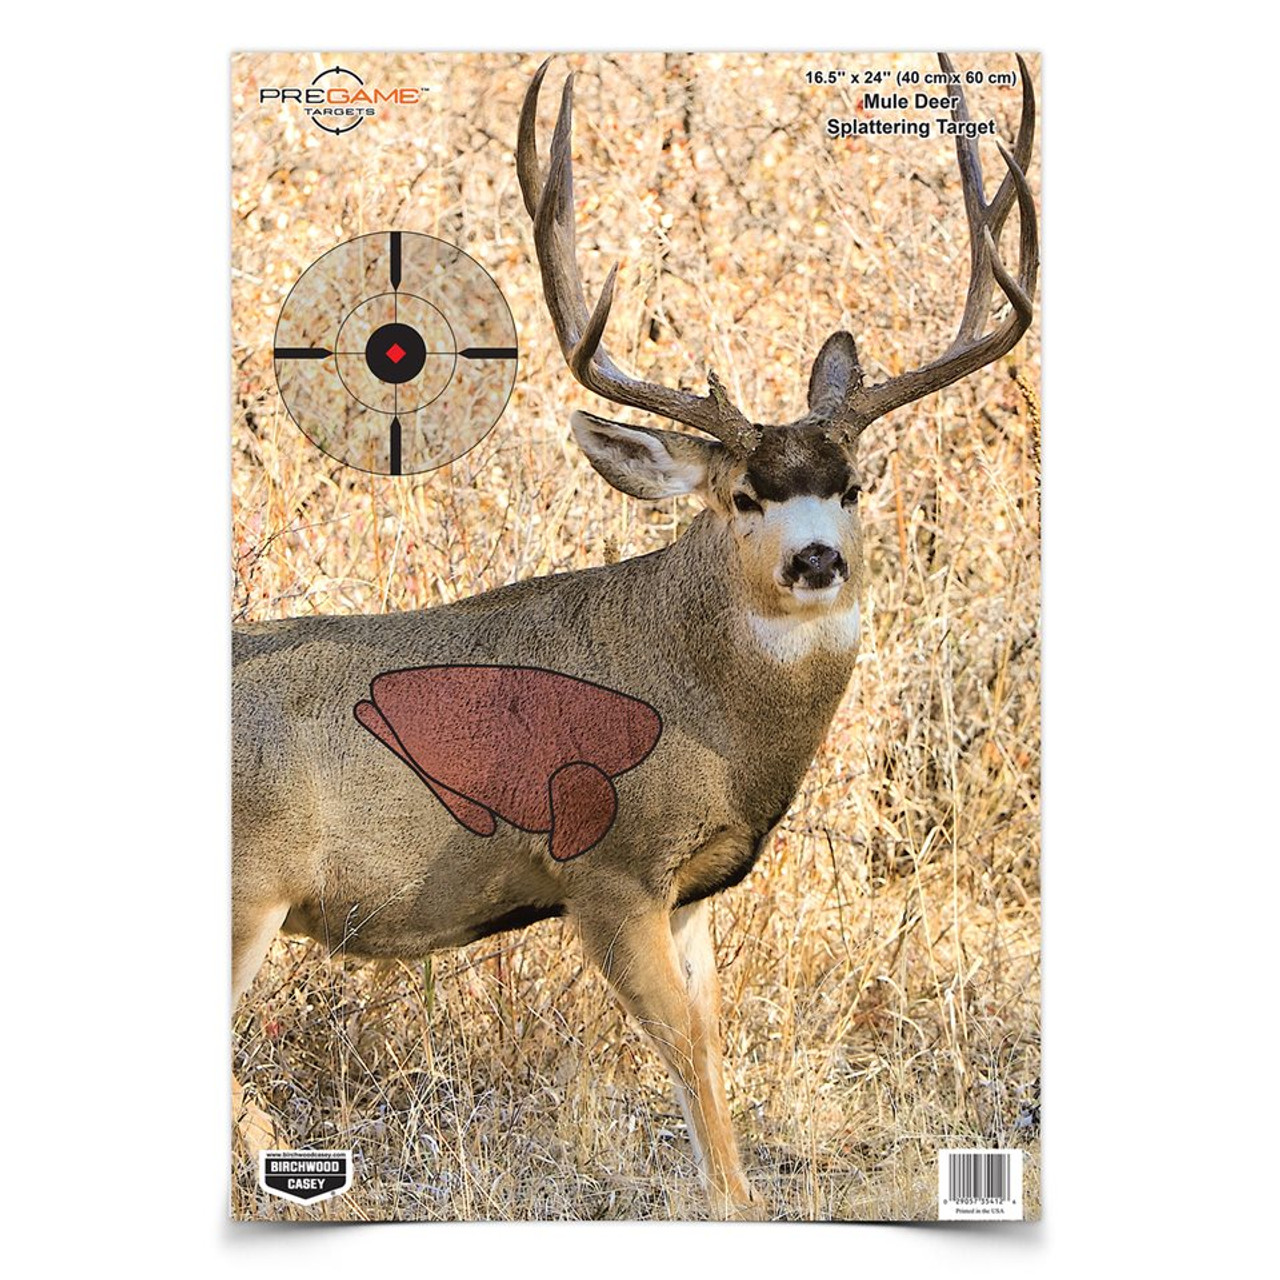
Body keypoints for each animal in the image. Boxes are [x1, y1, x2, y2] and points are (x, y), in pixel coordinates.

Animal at [232, 53, 1037, 1220]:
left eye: (848, 486)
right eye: (744, 496)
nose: (816, 560)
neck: (705, 711)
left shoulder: (692, 889)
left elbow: (711, 1048)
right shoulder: (606, 870)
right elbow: (684, 1055)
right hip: (244, 891)